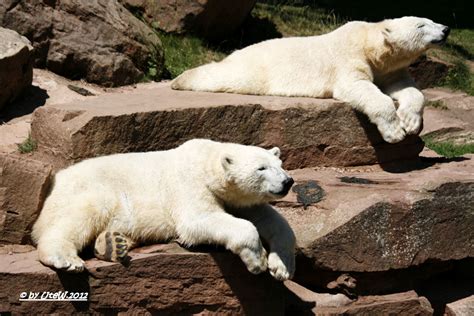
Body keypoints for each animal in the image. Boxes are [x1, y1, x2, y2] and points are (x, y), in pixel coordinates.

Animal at [30, 139, 296, 280]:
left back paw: (112, 243)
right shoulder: (190, 183)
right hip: (84, 191)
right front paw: (258, 260)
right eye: (261, 168)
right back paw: (66, 258)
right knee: (79, 216)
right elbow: (197, 220)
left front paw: (282, 267)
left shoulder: (240, 199)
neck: (206, 162)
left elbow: (272, 220)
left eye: (280, 164)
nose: (288, 181)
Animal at [171, 17, 452, 143]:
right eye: (421, 25)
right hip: (253, 69)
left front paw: (410, 121)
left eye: (429, 20)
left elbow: (405, 87)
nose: (446, 29)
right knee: (224, 75)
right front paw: (394, 132)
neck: (368, 43)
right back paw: (180, 79)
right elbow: (358, 88)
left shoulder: (388, 68)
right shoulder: (348, 58)